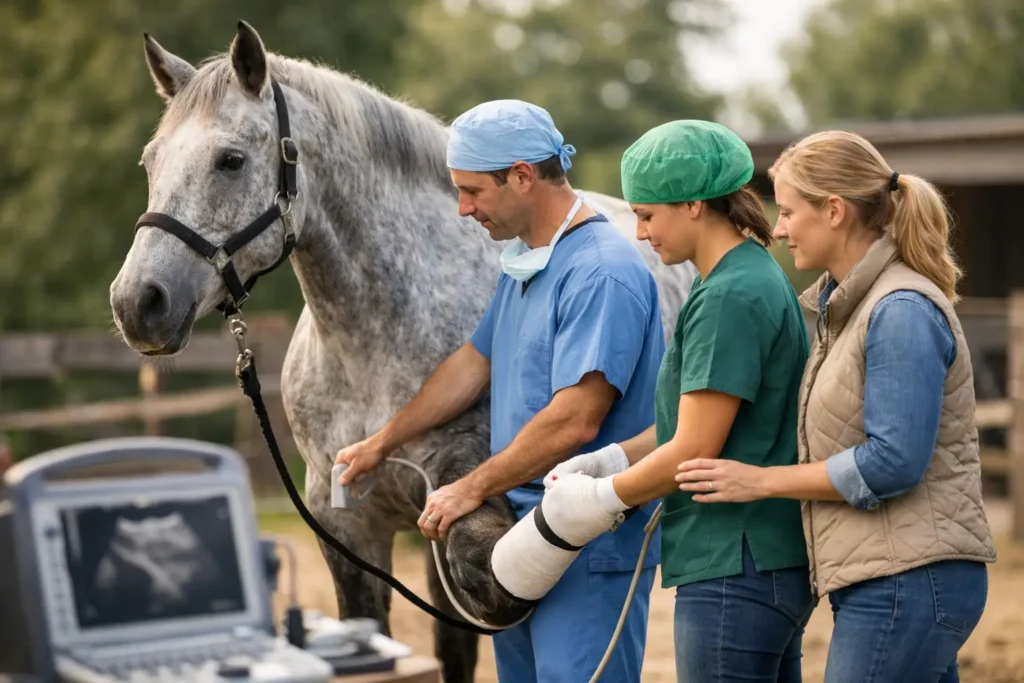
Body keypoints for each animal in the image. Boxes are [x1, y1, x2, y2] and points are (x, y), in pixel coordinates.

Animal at [109, 21, 697, 683]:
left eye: (230, 160)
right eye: (151, 161)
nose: (138, 303)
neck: (370, 347)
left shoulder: (455, 484)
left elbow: (483, 584)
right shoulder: (346, 531)